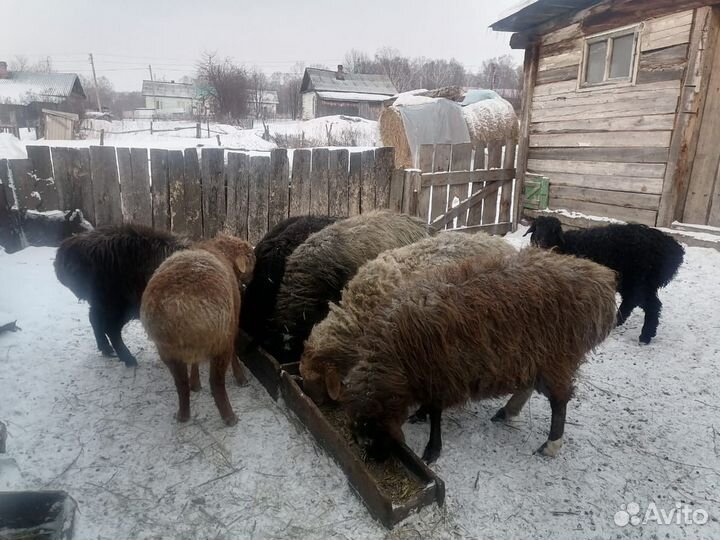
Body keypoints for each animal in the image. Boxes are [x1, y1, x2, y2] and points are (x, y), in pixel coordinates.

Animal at [54, 224, 190, 366]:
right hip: (117, 304)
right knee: (111, 329)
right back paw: (128, 359)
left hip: (103, 303)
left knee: (95, 318)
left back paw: (106, 349)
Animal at [140, 235, 255, 425]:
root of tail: (179, 310)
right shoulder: (231, 328)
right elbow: (234, 353)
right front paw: (241, 378)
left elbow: (194, 365)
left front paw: (195, 383)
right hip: (220, 342)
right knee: (216, 383)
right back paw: (229, 417)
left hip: (168, 352)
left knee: (181, 384)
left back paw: (183, 414)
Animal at [341, 248, 618, 464]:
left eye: (372, 434)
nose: (375, 461)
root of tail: (600, 280)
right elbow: (430, 406)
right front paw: (419, 415)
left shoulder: (440, 372)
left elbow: (436, 412)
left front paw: (432, 449)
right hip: (531, 354)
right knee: (529, 385)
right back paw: (507, 412)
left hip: (558, 357)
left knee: (559, 401)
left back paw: (551, 445)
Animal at [526, 216, 684, 344]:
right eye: (536, 227)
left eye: (554, 230)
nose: (539, 241)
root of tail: (671, 247)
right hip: (634, 282)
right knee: (634, 302)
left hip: (639, 281)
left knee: (650, 305)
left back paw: (645, 336)